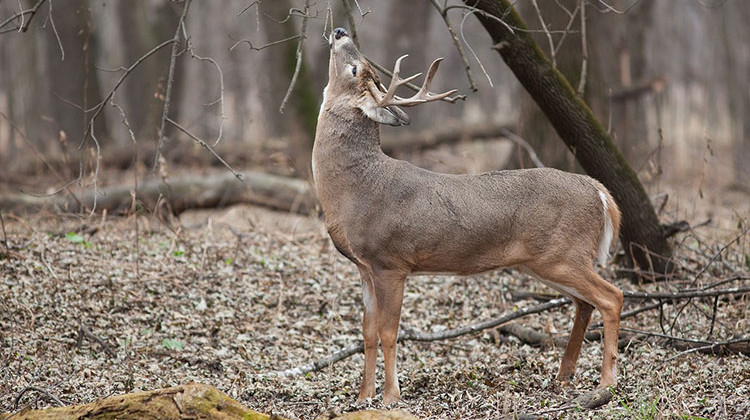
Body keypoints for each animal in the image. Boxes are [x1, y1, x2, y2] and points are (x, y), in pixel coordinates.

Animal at [314, 27, 624, 406]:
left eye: (355, 68)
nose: (340, 31)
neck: (355, 189)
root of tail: (599, 191)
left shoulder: (391, 261)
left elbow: (389, 331)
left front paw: (390, 397)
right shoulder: (364, 267)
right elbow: (368, 332)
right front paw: (362, 397)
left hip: (563, 254)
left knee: (611, 297)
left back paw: (606, 383)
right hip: (547, 261)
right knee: (584, 303)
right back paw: (564, 375)